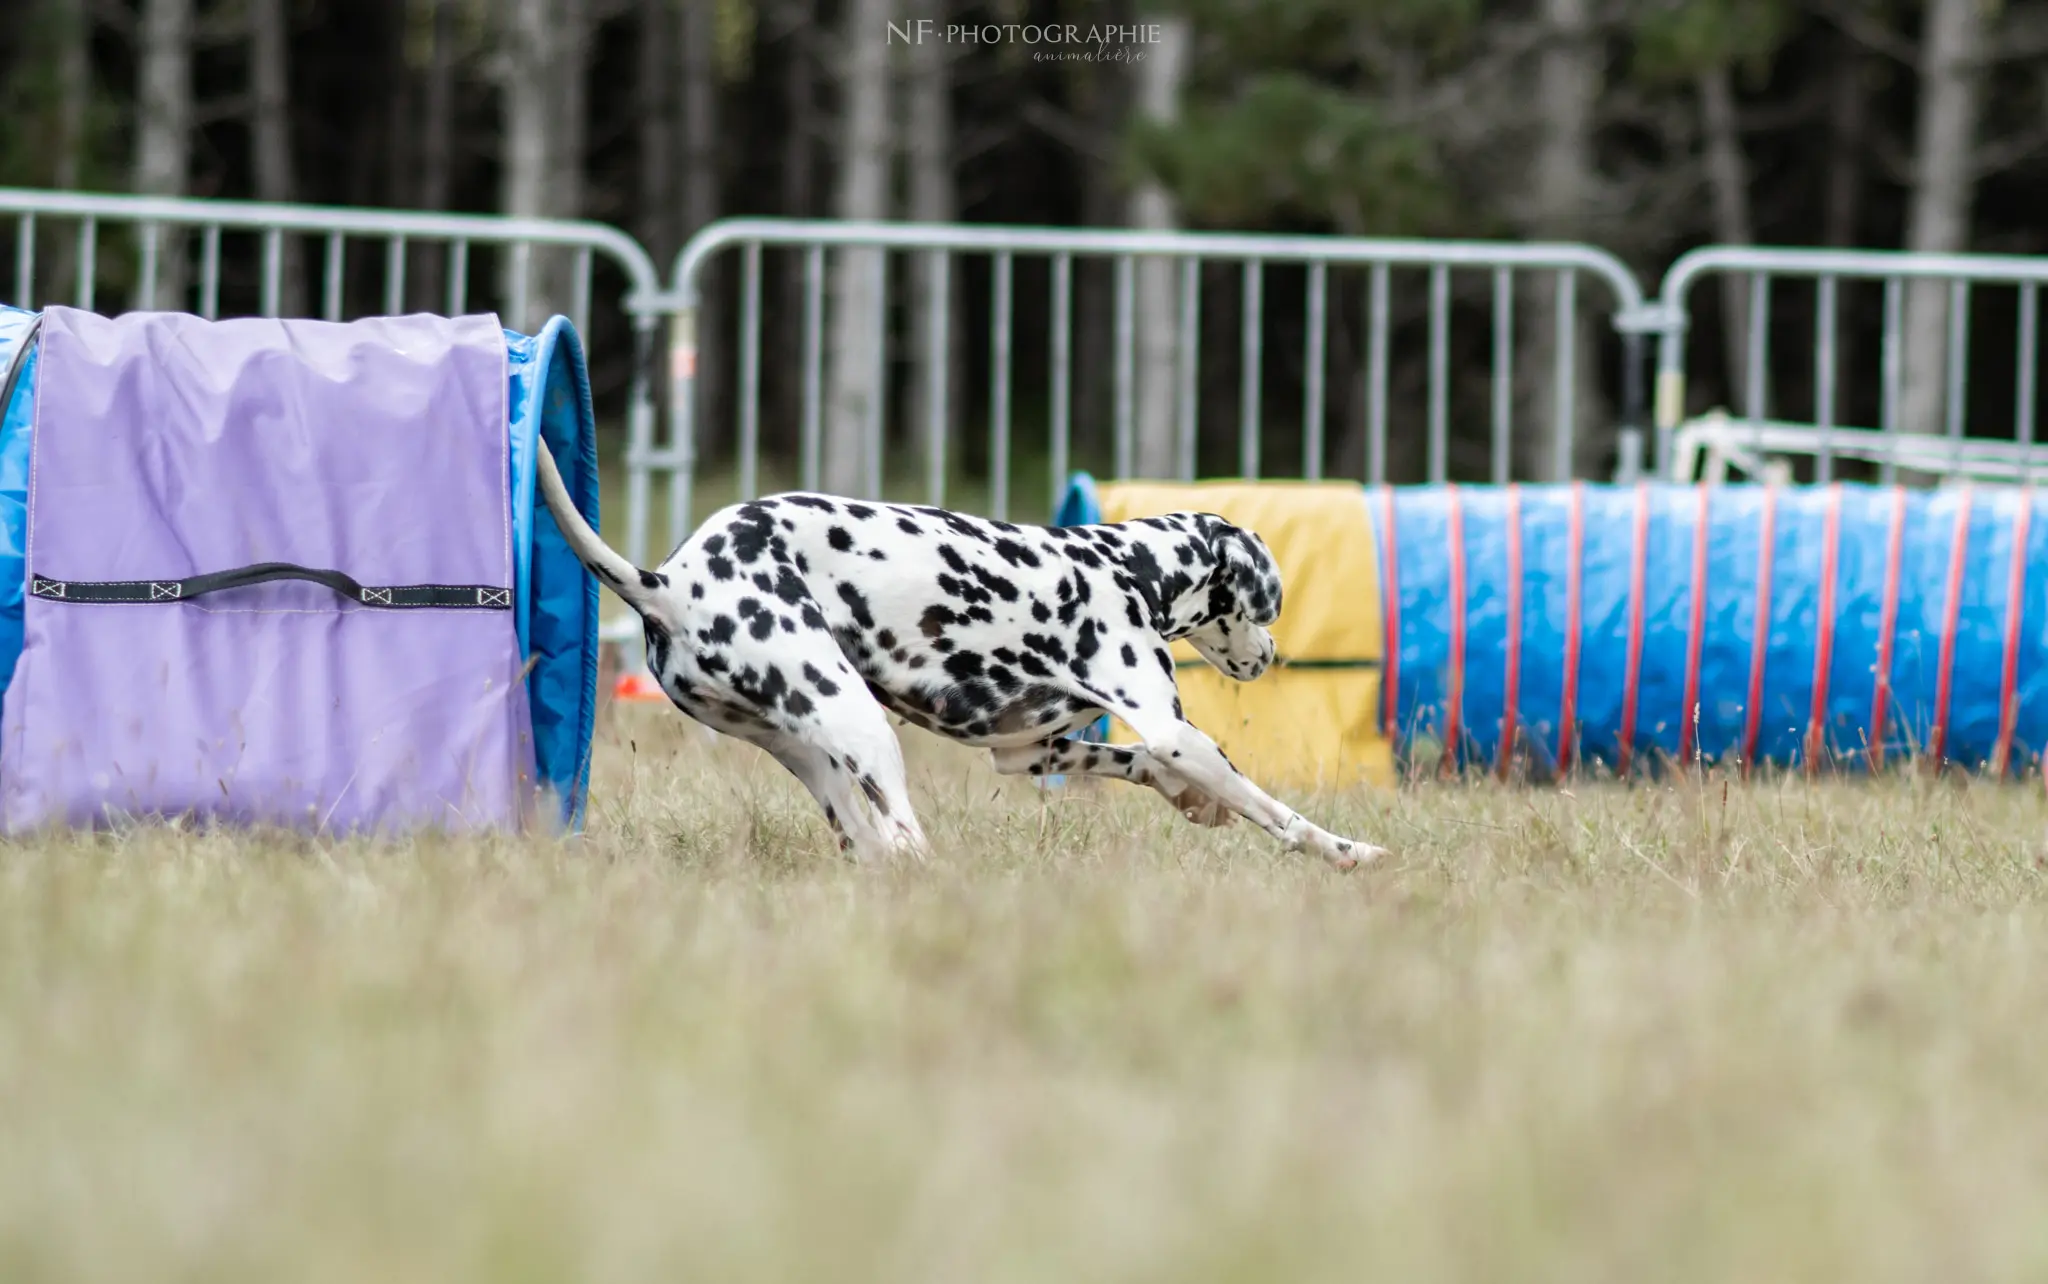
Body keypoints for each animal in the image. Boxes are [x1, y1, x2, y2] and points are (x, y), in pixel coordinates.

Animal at [536, 442, 1384, 872]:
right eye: (1265, 604)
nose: (1270, 653)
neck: (1125, 569)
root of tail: (666, 583)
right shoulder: (1178, 734)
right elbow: (1273, 808)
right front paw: (1347, 850)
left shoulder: (1031, 750)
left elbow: (1143, 766)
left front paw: (1195, 803)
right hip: (863, 725)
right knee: (906, 841)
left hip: (817, 755)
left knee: (875, 845)